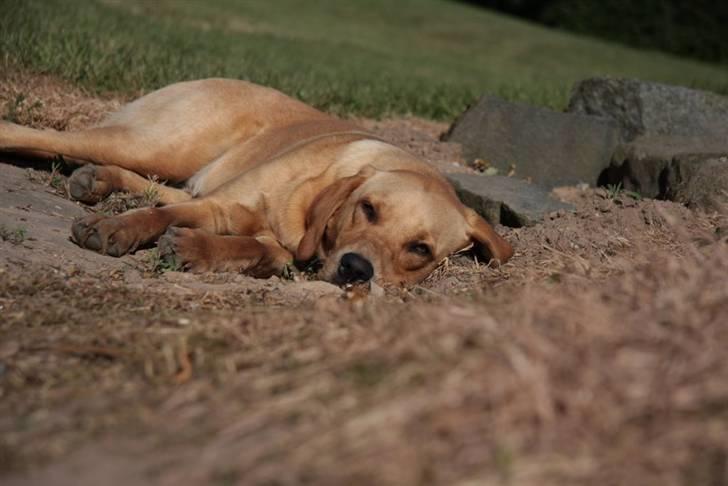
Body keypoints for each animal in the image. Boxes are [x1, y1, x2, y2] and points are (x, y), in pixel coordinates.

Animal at [0, 79, 512, 284]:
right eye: (368, 209)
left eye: (420, 249)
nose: (356, 270)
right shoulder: (220, 205)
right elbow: (158, 216)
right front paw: (115, 228)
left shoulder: (273, 243)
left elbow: (252, 248)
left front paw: (197, 249)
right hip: (156, 146)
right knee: (33, 135)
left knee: (151, 184)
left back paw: (97, 179)